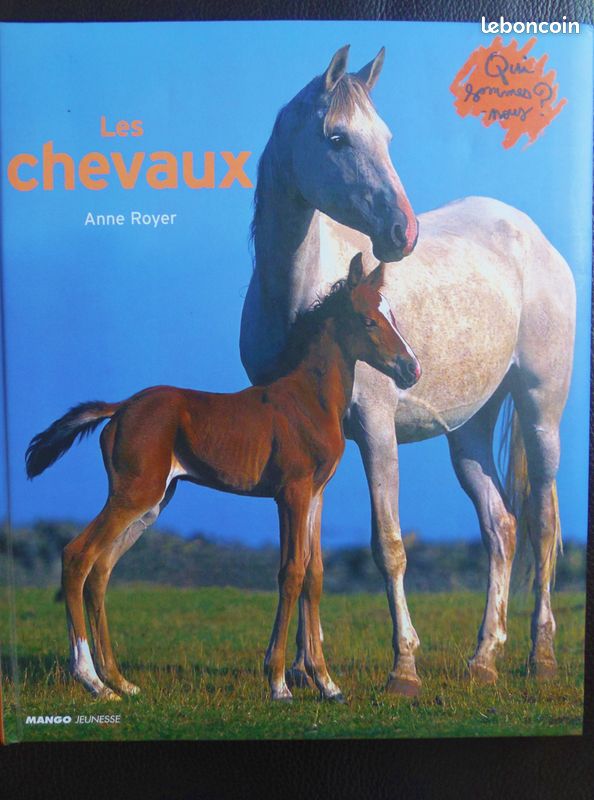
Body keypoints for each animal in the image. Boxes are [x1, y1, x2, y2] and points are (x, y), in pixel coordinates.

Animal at [26, 254, 420, 702]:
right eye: (369, 320)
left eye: (392, 315)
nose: (411, 369)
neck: (308, 399)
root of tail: (121, 406)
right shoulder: (291, 493)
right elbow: (291, 572)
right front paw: (279, 682)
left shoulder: (316, 495)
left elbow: (314, 575)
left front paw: (327, 683)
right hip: (133, 494)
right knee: (77, 556)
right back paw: (92, 680)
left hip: (152, 503)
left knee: (101, 570)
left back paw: (120, 680)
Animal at [239, 45, 576, 696]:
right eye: (337, 137)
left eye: (387, 136)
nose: (404, 232)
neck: (303, 303)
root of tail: (534, 236)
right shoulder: (302, 447)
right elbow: (307, 558)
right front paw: (306, 670)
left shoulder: (375, 432)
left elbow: (389, 545)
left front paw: (404, 669)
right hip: (469, 431)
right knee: (501, 527)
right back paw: (483, 659)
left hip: (540, 410)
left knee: (544, 524)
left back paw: (541, 657)